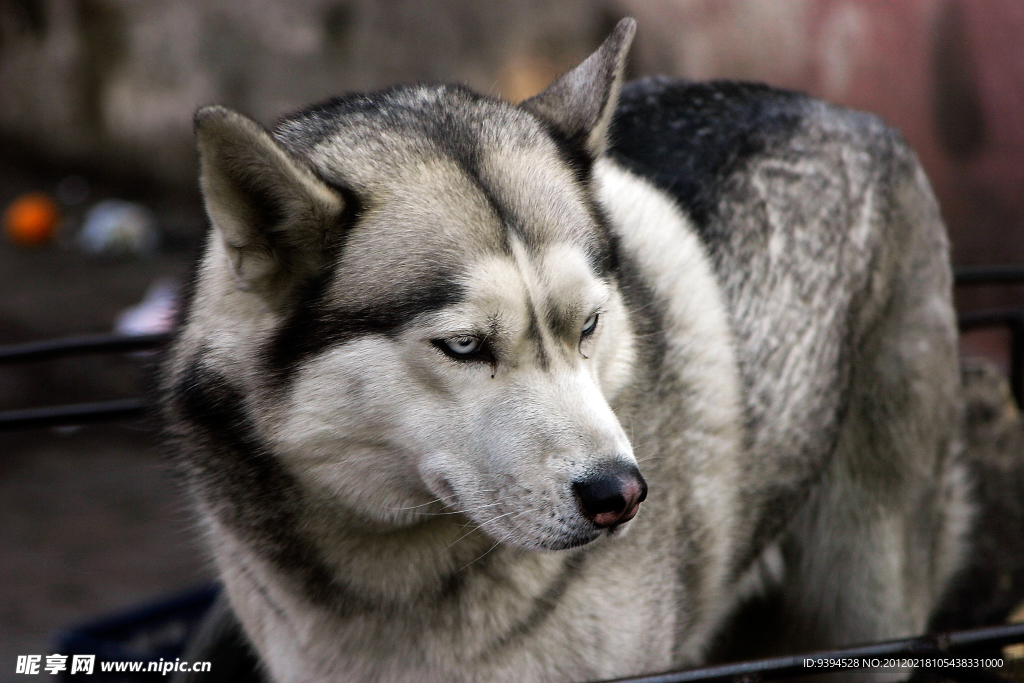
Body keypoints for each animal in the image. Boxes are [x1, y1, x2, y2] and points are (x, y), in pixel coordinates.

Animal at [159, 18, 966, 679]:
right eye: (464, 345)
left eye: (589, 325)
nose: (622, 495)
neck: (392, 582)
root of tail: (839, 108)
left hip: (869, 609)